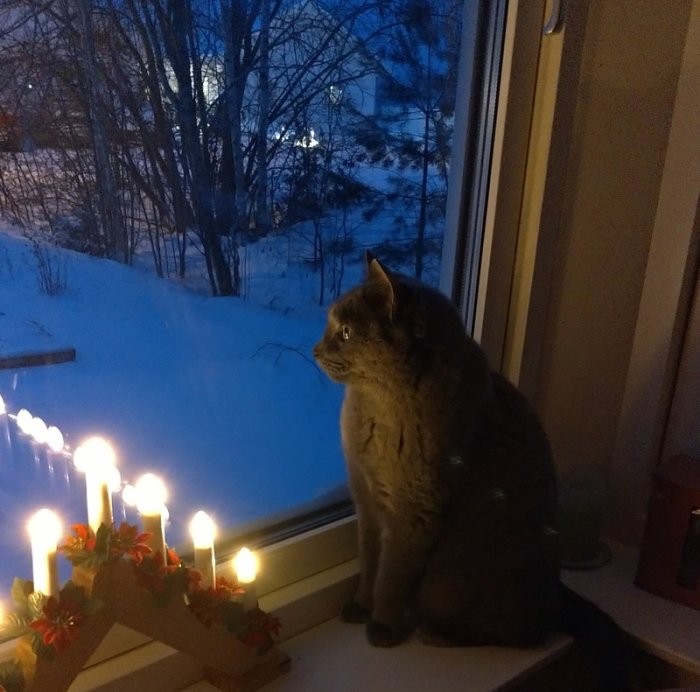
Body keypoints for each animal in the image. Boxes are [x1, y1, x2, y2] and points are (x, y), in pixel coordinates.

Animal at [314, 255, 628, 692]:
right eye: (332, 327)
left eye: (344, 332)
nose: (314, 350)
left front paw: (383, 626)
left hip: (450, 580)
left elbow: (390, 579)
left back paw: (438, 633)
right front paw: (361, 607)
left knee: (527, 633)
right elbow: (369, 564)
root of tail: (556, 587)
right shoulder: (367, 502)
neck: (374, 410)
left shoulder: (413, 515)